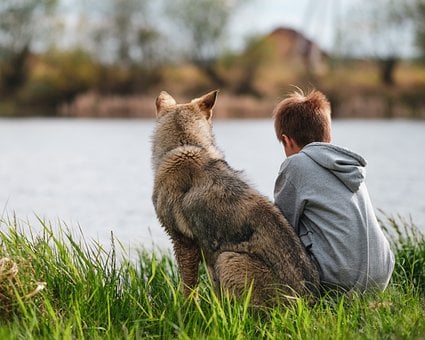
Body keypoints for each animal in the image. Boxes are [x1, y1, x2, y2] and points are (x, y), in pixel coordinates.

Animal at [151, 89, 320, 306]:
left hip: (228, 259)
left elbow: (188, 288)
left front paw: (186, 310)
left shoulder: (183, 242)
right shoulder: (206, 256)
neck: (185, 146)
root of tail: (309, 303)